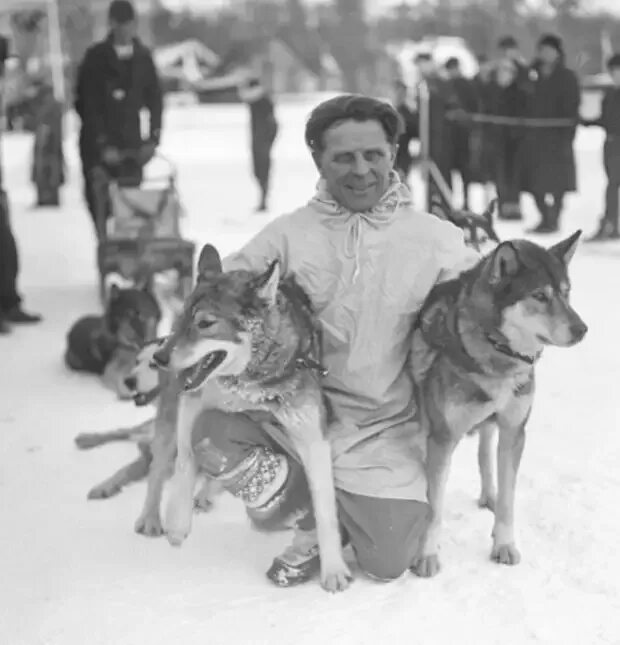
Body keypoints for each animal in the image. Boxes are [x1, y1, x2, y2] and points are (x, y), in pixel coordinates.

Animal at [150, 244, 352, 592]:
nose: (159, 357)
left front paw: (333, 570)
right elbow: (186, 458)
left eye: (206, 323)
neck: (249, 385)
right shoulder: (193, 401)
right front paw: (176, 522)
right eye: (184, 317)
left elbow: (326, 511)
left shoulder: (313, 439)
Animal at [410, 229, 588, 576]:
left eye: (566, 293)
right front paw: (426, 555)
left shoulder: (514, 432)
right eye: (539, 296)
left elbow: (508, 499)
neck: (496, 352)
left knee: (484, 452)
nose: (582, 329)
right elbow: (434, 507)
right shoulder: (442, 438)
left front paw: (504, 545)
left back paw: (488, 495)